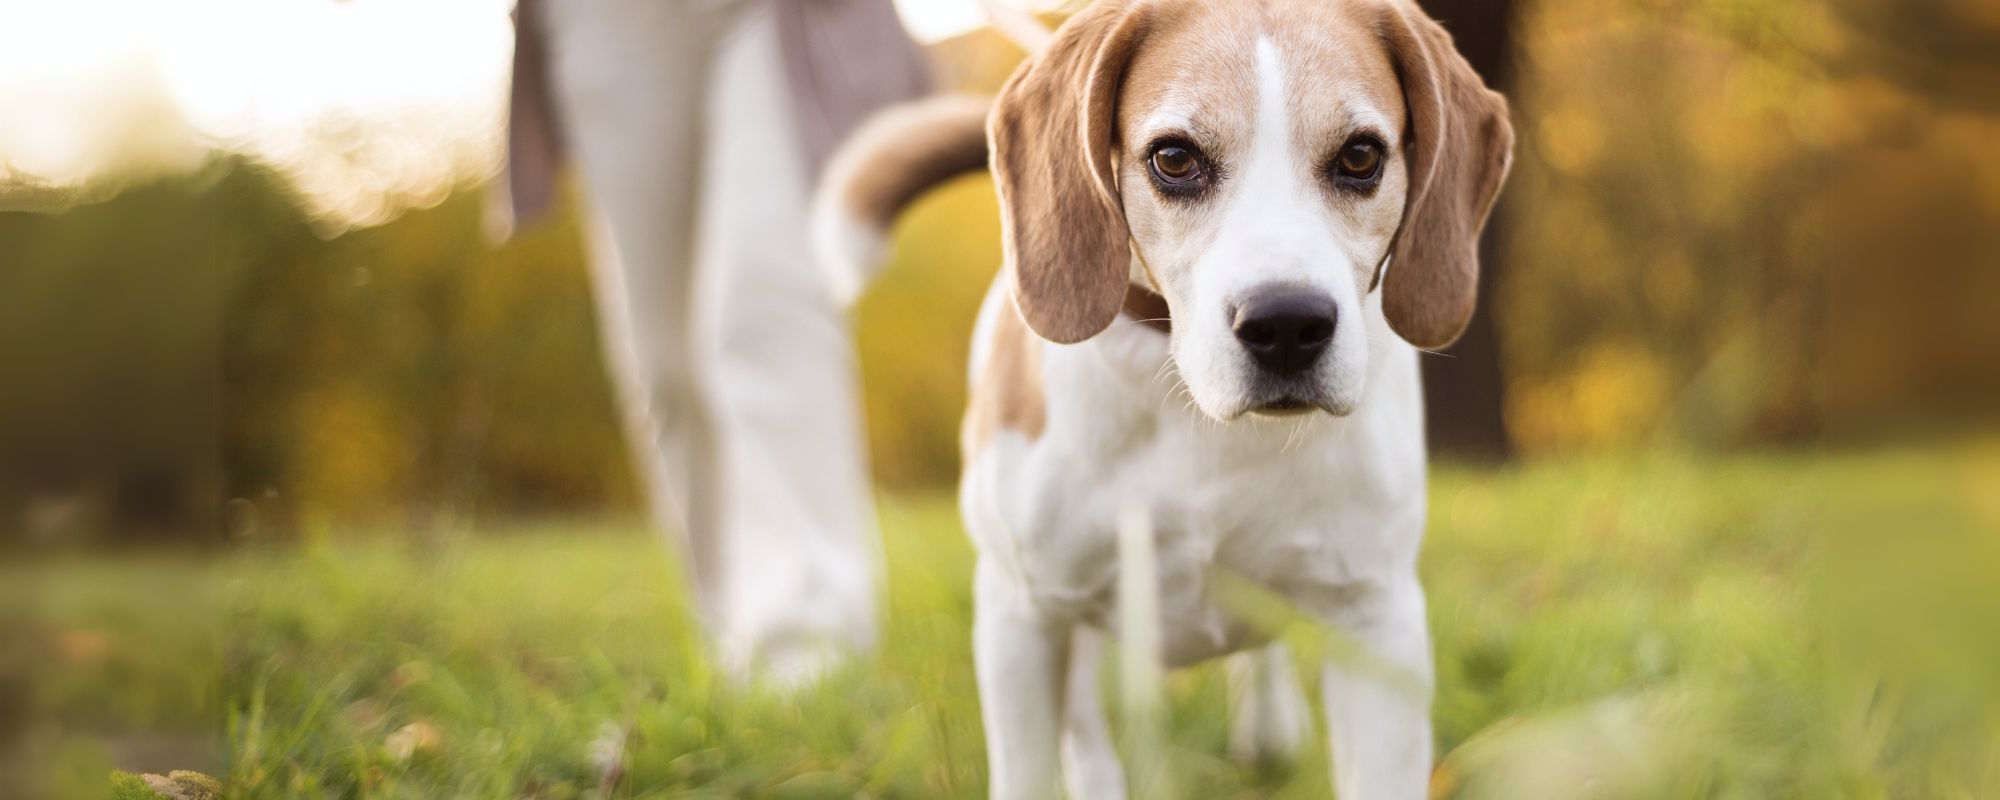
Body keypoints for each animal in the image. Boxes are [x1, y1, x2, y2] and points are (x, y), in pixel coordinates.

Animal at [820, 3, 1504, 796]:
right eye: (1174, 159)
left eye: (1361, 157)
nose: (1287, 325)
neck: (1190, 408)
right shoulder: (1021, 616)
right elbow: (1033, 763)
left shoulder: (1377, 619)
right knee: (1084, 724)